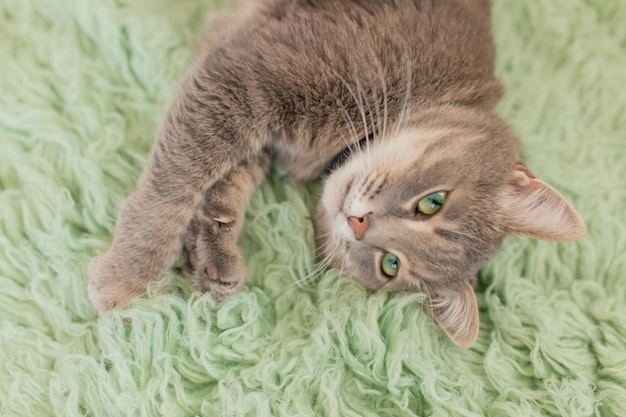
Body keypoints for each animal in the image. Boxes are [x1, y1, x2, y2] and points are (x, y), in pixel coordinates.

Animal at [89, 0, 584, 348]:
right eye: (433, 202)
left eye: (389, 265)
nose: (357, 222)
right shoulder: (247, 74)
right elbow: (176, 182)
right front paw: (126, 276)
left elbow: (229, 179)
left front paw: (213, 250)